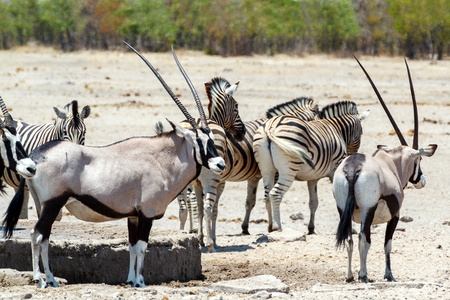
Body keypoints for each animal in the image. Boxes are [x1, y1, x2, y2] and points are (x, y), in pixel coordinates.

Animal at [253, 101, 370, 234]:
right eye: (361, 133)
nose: (352, 156)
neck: (337, 130)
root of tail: (270, 127)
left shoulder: (312, 177)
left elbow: (313, 202)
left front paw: (311, 228)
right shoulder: (335, 170)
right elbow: (341, 199)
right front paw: (349, 228)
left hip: (266, 169)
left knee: (267, 195)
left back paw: (270, 226)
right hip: (288, 170)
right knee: (275, 194)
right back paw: (278, 227)